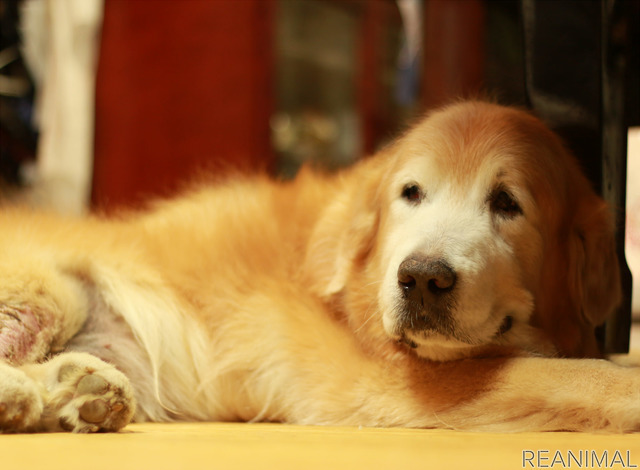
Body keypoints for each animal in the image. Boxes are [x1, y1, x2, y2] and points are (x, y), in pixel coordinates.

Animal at [0, 102, 636, 434]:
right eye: (411, 193)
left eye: (506, 203)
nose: (421, 279)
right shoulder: (386, 384)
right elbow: (575, 374)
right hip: (46, 292)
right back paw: (28, 396)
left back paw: (81, 391)